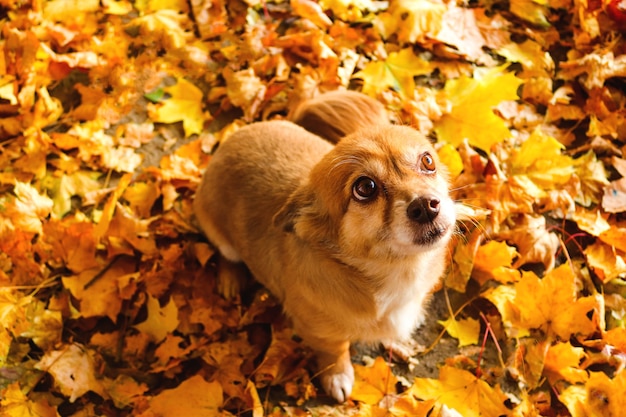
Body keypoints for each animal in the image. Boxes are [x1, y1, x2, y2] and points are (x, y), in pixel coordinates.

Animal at [191, 89, 454, 402]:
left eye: (428, 161)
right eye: (365, 188)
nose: (426, 206)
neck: (394, 272)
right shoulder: (319, 331)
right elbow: (335, 350)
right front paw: (337, 375)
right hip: (217, 230)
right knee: (226, 254)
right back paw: (230, 279)